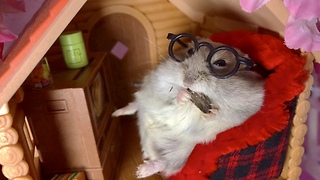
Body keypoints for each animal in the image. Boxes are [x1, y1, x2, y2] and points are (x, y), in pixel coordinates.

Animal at [111, 35, 264, 179]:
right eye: (190, 51)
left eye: (221, 63)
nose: (187, 82)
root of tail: (149, 149)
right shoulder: (161, 81)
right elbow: (172, 92)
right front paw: (184, 94)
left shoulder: (245, 107)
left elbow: (221, 115)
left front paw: (212, 111)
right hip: (145, 98)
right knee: (135, 105)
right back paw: (116, 114)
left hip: (181, 152)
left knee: (165, 163)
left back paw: (141, 171)